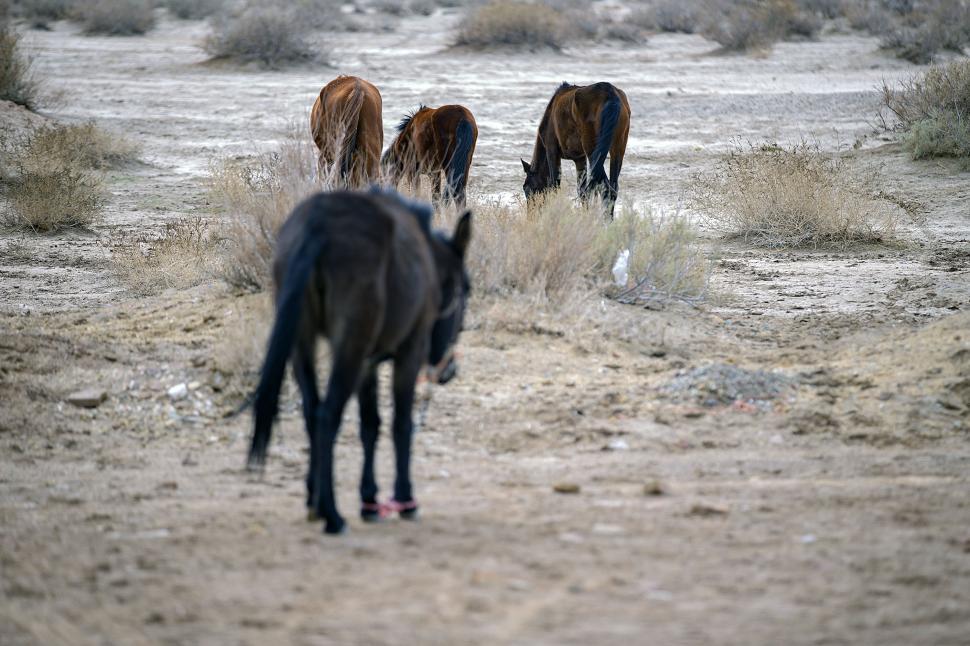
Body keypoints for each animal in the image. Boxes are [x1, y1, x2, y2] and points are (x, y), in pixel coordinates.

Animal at [247, 188, 472, 535]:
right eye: (467, 291)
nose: (448, 370)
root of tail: (318, 227)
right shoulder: (408, 352)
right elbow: (400, 424)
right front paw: (405, 500)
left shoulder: (368, 364)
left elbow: (370, 425)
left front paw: (369, 500)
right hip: (350, 346)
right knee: (327, 414)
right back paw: (333, 515)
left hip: (302, 341)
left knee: (312, 412)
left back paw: (314, 501)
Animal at [520, 82, 631, 217]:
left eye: (526, 189)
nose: (531, 216)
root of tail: (610, 93)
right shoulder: (580, 159)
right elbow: (582, 191)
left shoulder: (552, 151)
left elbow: (554, 185)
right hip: (618, 149)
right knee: (613, 188)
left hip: (593, 151)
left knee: (606, 189)